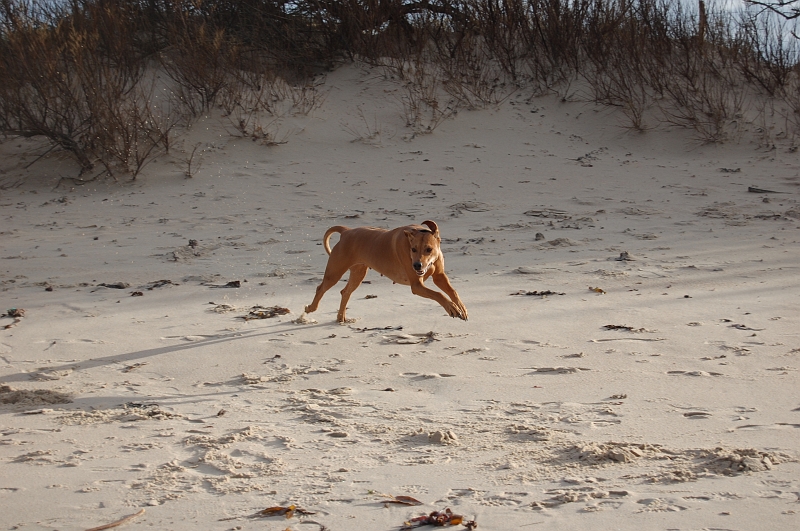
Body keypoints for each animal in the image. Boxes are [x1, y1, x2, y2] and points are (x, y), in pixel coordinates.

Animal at [304, 220, 468, 324]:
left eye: (429, 249)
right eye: (413, 249)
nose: (416, 266)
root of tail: (347, 231)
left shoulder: (439, 276)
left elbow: (452, 291)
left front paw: (461, 307)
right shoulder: (416, 285)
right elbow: (438, 294)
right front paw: (452, 308)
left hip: (358, 272)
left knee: (345, 292)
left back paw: (340, 317)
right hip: (335, 272)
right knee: (321, 288)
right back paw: (311, 308)